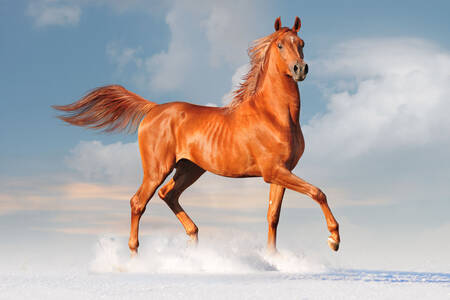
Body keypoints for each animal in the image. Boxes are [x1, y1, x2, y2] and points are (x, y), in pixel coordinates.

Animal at [52, 16, 342, 255]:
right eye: (281, 45)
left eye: (302, 43)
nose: (300, 69)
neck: (274, 115)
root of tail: (153, 109)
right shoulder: (273, 171)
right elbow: (318, 193)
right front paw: (334, 240)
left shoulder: (281, 172)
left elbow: (273, 216)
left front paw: (273, 258)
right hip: (158, 168)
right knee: (138, 202)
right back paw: (136, 255)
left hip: (189, 168)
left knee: (168, 195)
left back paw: (194, 243)